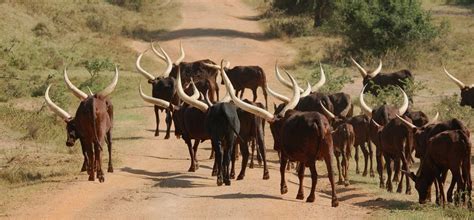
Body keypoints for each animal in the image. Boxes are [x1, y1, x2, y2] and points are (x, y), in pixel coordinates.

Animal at [221, 62, 336, 207]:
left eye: (273, 128)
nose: (275, 146)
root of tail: (319, 121)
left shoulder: (286, 153)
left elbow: (282, 169)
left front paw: (284, 188)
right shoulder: (301, 157)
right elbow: (301, 174)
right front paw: (300, 194)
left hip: (310, 157)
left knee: (314, 175)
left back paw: (311, 197)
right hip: (328, 153)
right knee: (331, 174)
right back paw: (334, 201)